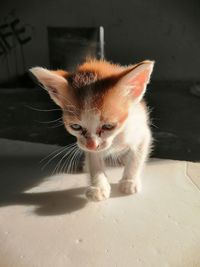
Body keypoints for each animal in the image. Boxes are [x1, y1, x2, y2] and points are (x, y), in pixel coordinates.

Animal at [30, 58, 155, 201]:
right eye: (76, 126)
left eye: (108, 126)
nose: (91, 145)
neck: (115, 138)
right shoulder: (89, 147)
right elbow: (95, 161)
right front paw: (99, 186)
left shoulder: (141, 132)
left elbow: (136, 157)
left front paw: (129, 181)